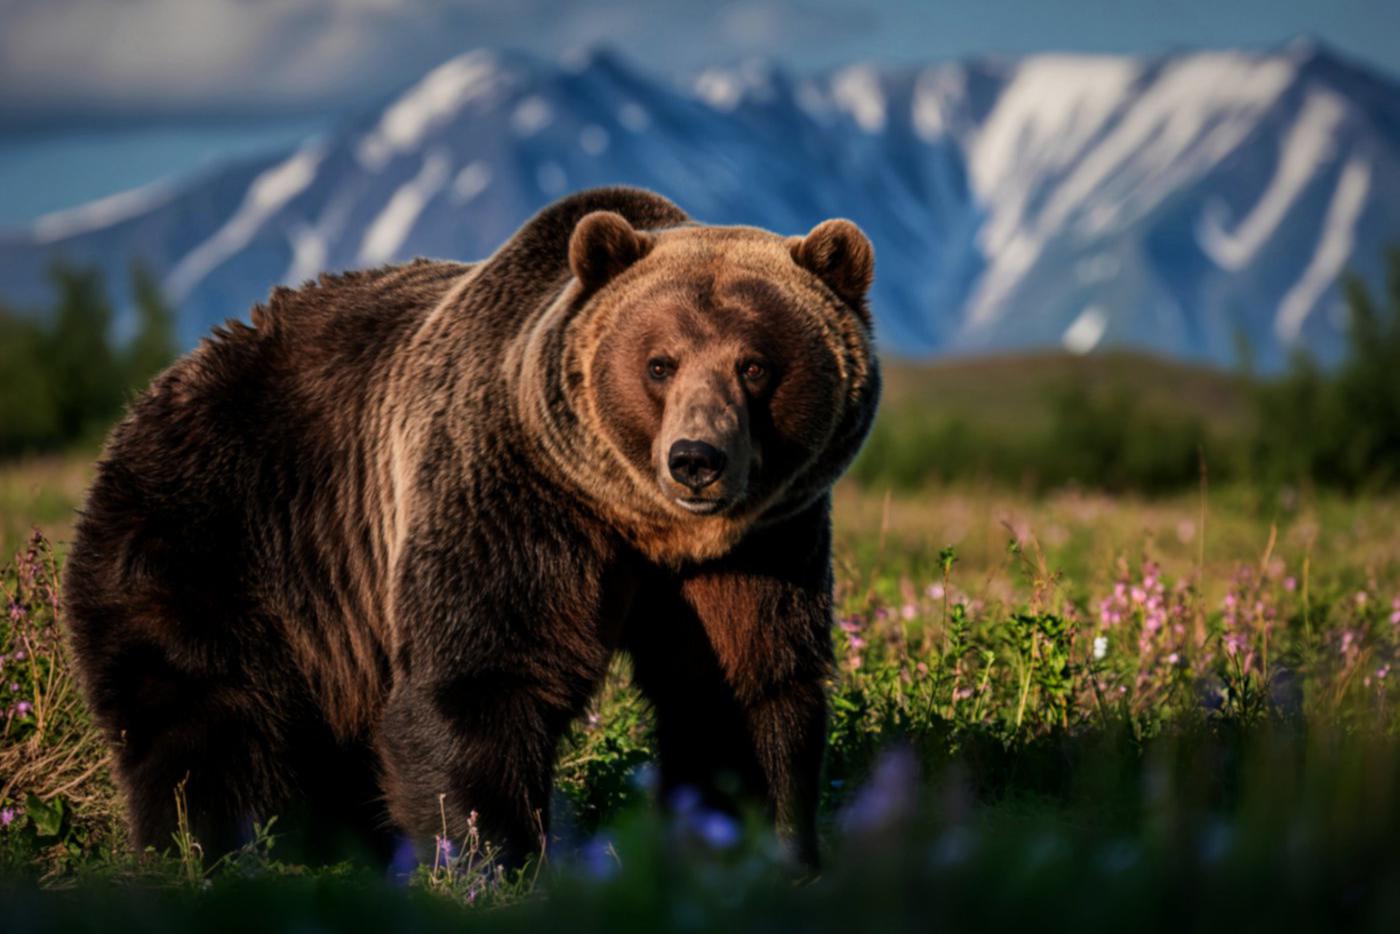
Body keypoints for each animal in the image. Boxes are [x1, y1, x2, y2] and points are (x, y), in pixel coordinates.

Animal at [63, 186, 881, 869]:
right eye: (659, 363)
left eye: (754, 365)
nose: (696, 459)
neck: (640, 525)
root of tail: (159, 388)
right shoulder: (510, 491)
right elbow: (477, 683)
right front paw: (497, 860)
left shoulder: (765, 541)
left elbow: (745, 689)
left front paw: (764, 848)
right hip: (215, 535)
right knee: (205, 714)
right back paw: (205, 850)